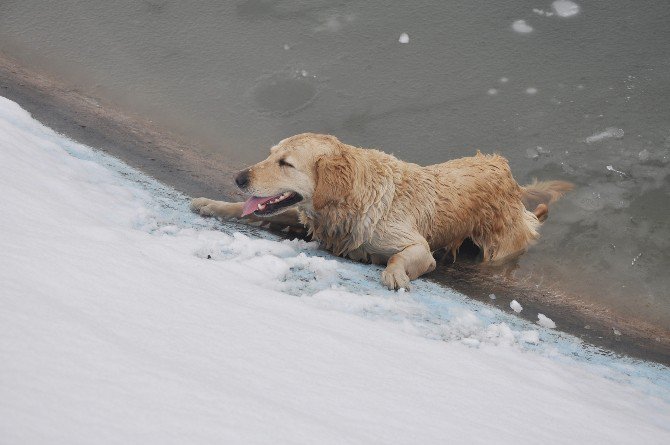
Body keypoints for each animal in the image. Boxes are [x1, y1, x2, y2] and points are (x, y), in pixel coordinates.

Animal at [192, 134, 576, 290]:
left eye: (285, 163)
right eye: (270, 155)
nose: (239, 177)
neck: (350, 197)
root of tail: (503, 169)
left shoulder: (416, 245)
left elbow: (399, 256)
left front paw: (394, 274)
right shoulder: (311, 218)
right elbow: (251, 210)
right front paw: (213, 203)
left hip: (500, 245)